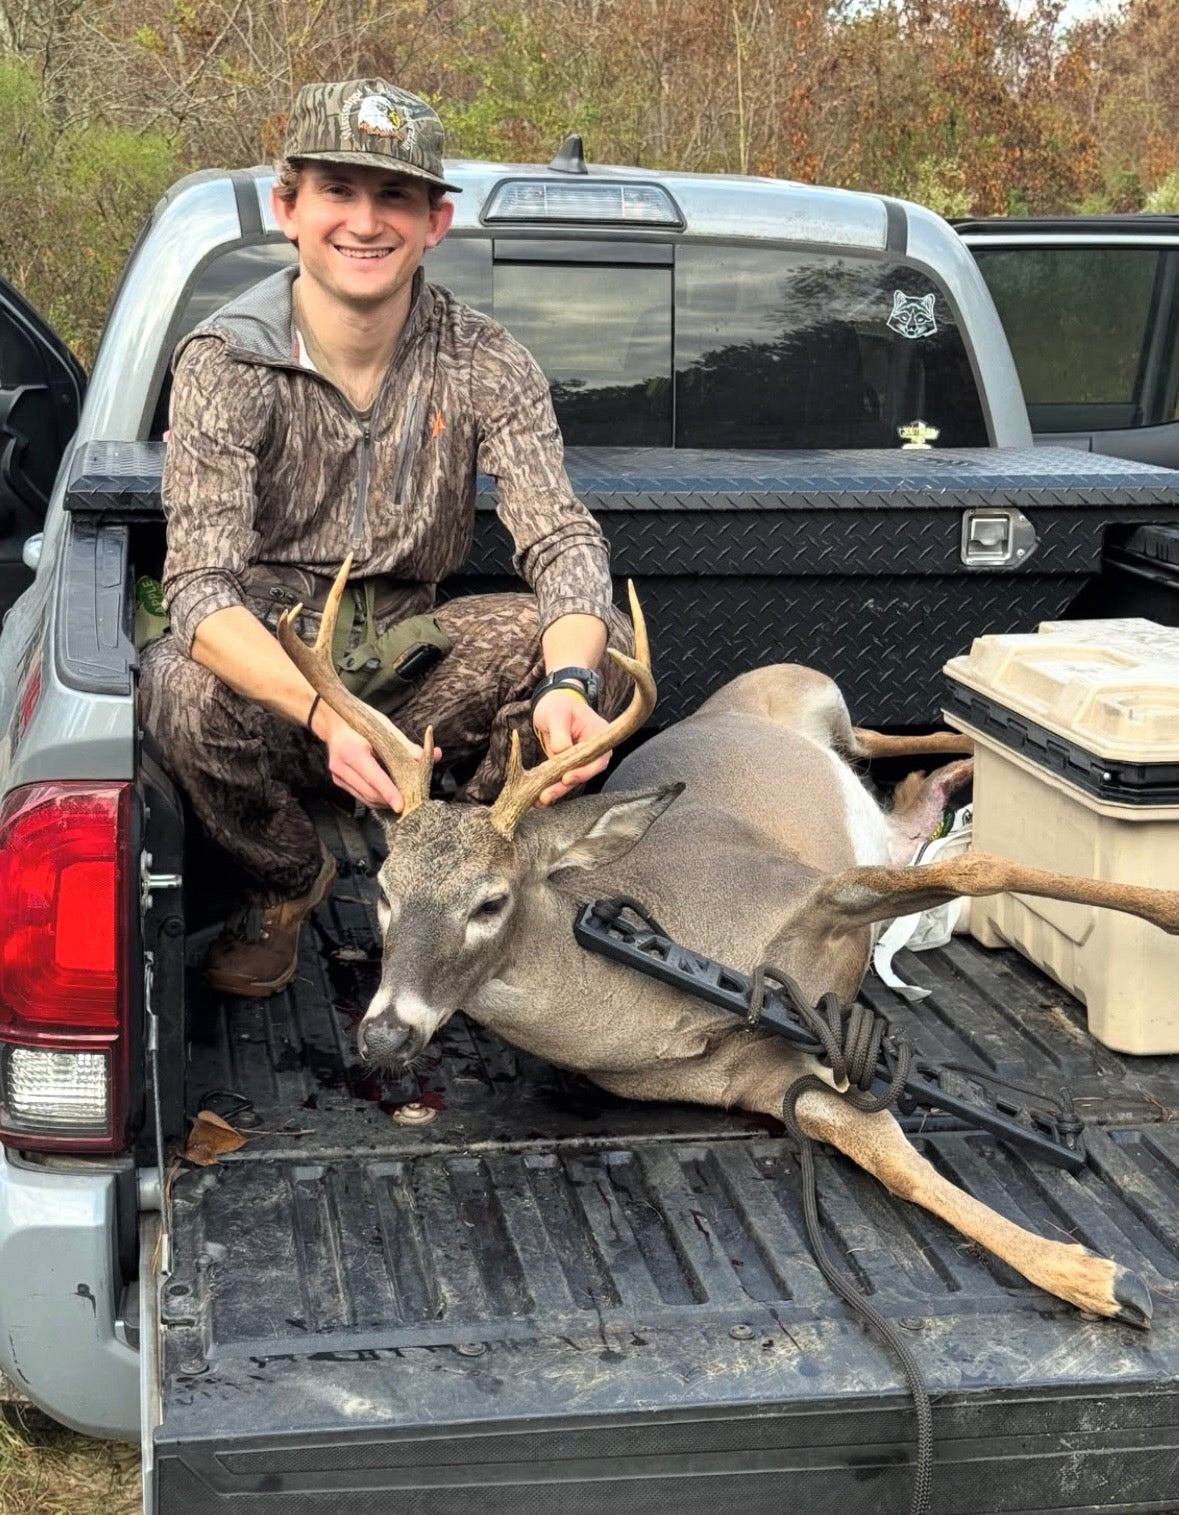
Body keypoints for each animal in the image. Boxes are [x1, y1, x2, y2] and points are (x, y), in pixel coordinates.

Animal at [278, 563, 1179, 1330]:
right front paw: (1096, 1275)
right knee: (909, 792)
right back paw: (952, 782)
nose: (384, 1032)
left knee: (889, 739)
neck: (657, 1002)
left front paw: (1165, 908)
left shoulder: (811, 887)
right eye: (384, 888)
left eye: (490, 900)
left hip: (819, 693)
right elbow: (891, 1157)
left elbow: (987, 865)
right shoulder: (768, 1078)